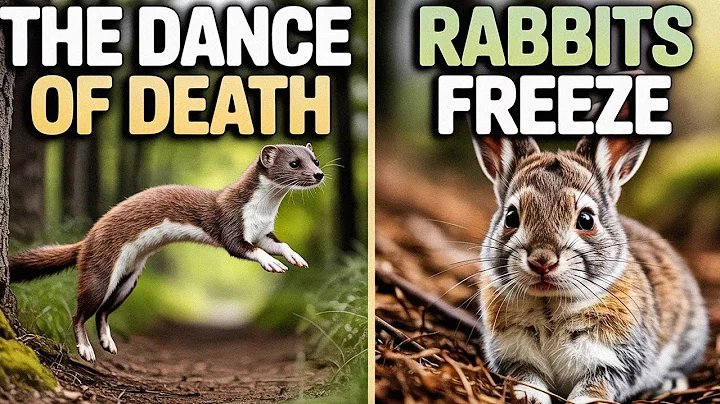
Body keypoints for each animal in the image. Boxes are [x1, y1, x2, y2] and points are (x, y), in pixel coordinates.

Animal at [471, 134, 708, 403]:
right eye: (511, 217)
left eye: (586, 220)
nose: (542, 261)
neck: (549, 303)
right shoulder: (515, 357)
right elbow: (527, 379)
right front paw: (530, 398)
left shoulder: (614, 361)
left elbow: (594, 386)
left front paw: (583, 400)